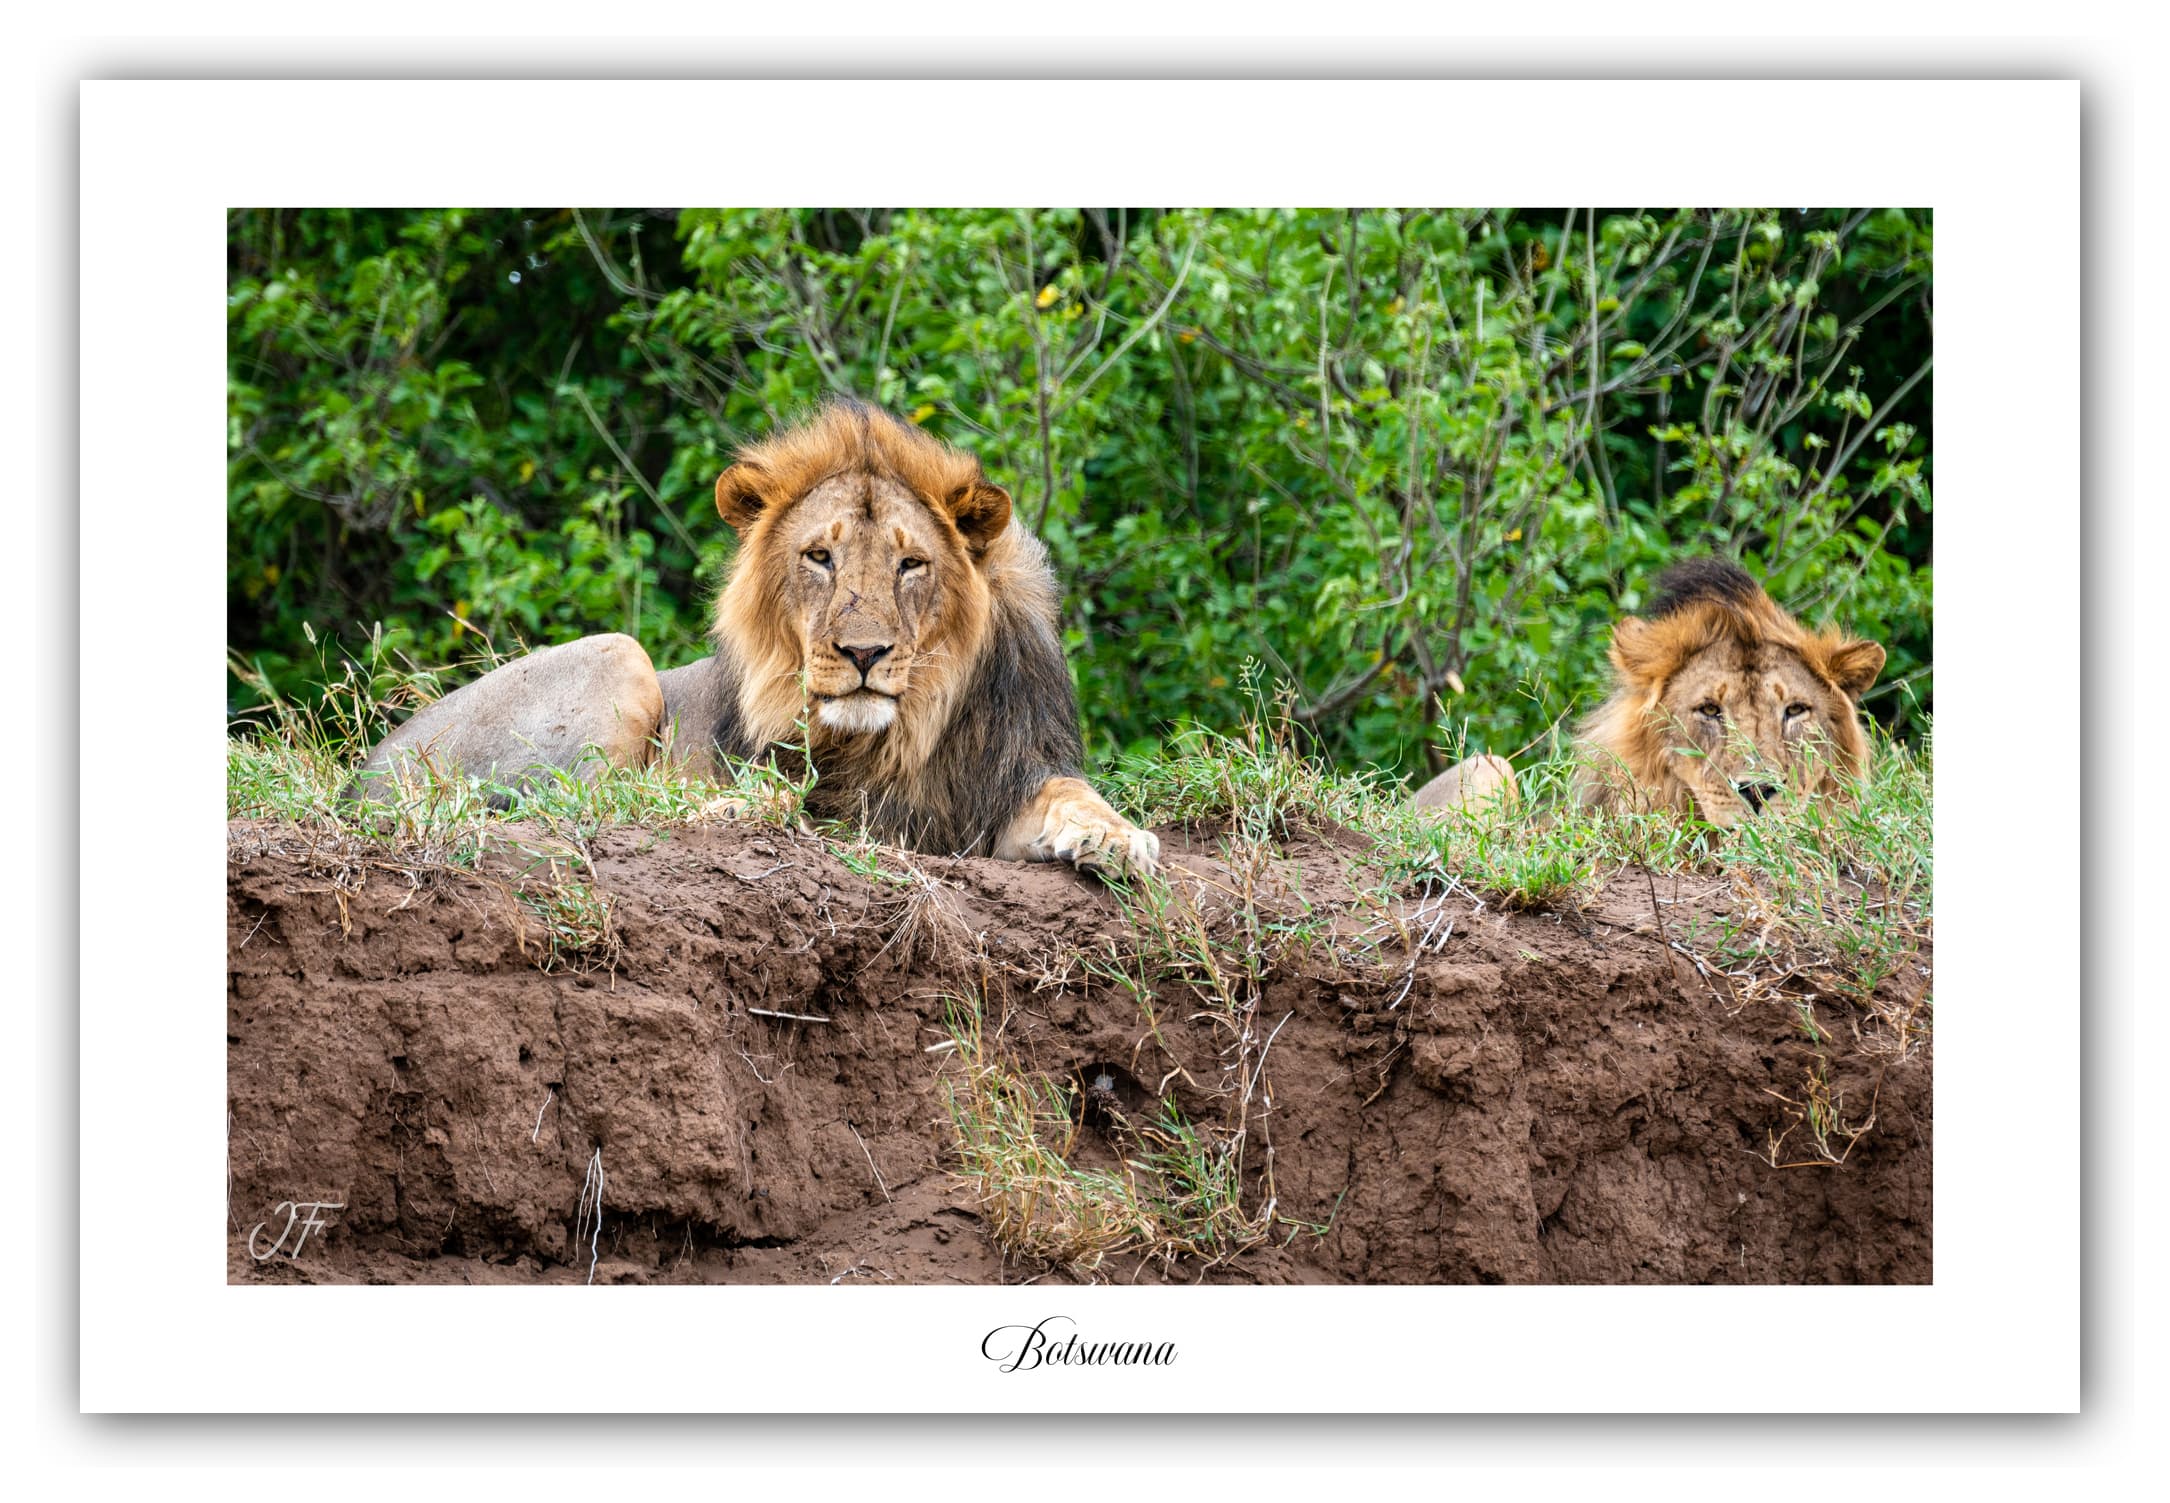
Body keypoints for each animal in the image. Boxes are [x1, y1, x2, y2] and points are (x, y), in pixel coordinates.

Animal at [351, 400, 1159, 875]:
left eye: (911, 564)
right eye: (819, 556)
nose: (864, 654)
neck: (909, 726)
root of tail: (365, 770)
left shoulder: (1006, 779)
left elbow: (1075, 794)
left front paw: (1116, 838)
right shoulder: (842, 800)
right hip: (619, 656)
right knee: (588, 801)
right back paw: (727, 807)